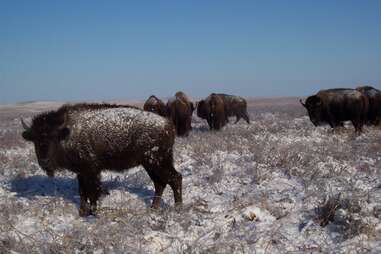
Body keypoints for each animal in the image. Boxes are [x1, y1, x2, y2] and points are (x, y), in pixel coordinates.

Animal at [21, 102, 183, 216]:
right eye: (35, 139)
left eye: (53, 137)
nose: (44, 161)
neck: (67, 133)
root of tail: (167, 124)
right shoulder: (81, 172)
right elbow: (82, 192)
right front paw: (82, 213)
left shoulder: (91, 171)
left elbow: (93, 192)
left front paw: (93, 213)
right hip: (151, 164)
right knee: (160, 183)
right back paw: (153, 209)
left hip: (156, 162)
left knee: (175, 178)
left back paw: (178, 209)